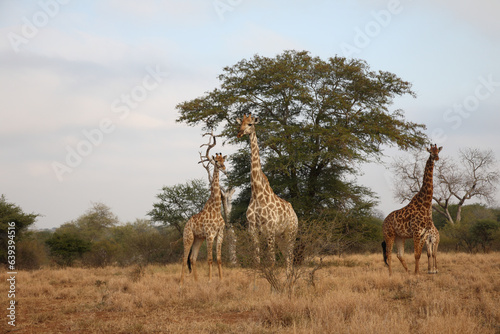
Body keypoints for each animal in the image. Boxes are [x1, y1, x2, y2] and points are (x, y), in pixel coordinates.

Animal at [181, 153, 226, 284]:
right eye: (216, 161)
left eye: (223, 160)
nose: (224, 167)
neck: (216, 209)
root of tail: (186, 225)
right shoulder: (210, 235)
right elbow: (210, 258)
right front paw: (210, 280)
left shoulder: (220, 233)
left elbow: (219, 258)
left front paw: (221, 279)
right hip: (188, 237)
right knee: (184, 258)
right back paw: (181, 283)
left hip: (198, 239)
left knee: (192, 258)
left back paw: (196, 282)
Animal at [235, 115, 296, 280]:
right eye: (241, 124)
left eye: (250, 124)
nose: (240, 133)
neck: (257, 193)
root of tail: (294, 212)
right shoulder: (253, 230)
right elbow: (257, 261)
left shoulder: (269, 230)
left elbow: (271, 261)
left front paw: (272, 283)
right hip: (281, 236)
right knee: (287, 257)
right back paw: (287, 280)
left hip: (290, 233)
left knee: (290, 257)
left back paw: (288, 281)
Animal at [382, 145, 442, 276]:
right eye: (430, 152)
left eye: (438, 151)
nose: (436, 157)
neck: (425, 204)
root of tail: (384, 221)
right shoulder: (416, 232)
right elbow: (416, 254)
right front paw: (417, 273)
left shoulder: (424, 234)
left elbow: (419, 254)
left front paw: (417, 272)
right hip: (389, 234)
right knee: (389, 254)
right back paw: (390, 274)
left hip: (400, 237)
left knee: (399, 254)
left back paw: (408, 272)